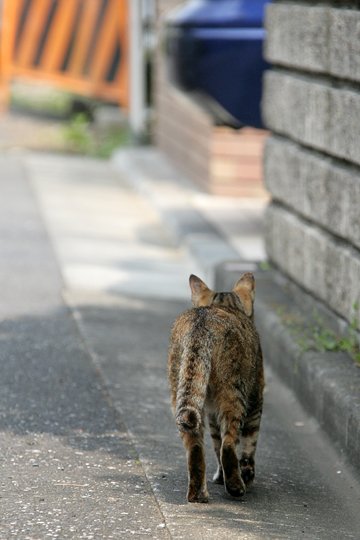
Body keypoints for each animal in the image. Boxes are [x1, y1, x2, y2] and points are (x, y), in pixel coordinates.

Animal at [167, 274, 264, 502]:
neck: (225, 304)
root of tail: (201, 322)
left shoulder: (211, 413)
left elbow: (215, 442)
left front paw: (220, 477)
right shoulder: (256, 399)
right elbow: (249, 443)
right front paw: (245, 474)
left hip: (182, 393)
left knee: (196, 447)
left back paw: (198, 495)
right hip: (234, 392)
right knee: (229, 445)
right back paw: (236, 486)